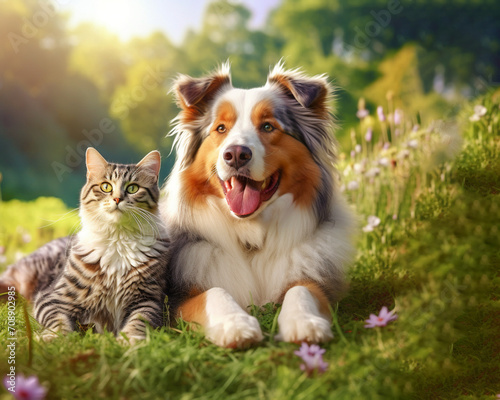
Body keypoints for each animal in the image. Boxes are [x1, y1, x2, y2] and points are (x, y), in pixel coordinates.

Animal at [28, 148, 170, 342]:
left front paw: (129, 342)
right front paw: (54, 338)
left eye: (132, 188)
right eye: (106, 187)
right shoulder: (52, 297)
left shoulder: (149, 299)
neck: (118, 239)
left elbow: (138, 322)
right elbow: (58, 322)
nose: (117, 199)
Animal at [162, 64, 354, 348]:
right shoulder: (179, 299)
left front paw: (304, 323)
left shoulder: (317, 280)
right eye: (221, 128)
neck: (251, 236)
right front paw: (235, 325)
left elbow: (302, 289)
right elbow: (214, 292)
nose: (236, 154)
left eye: (267, 126)